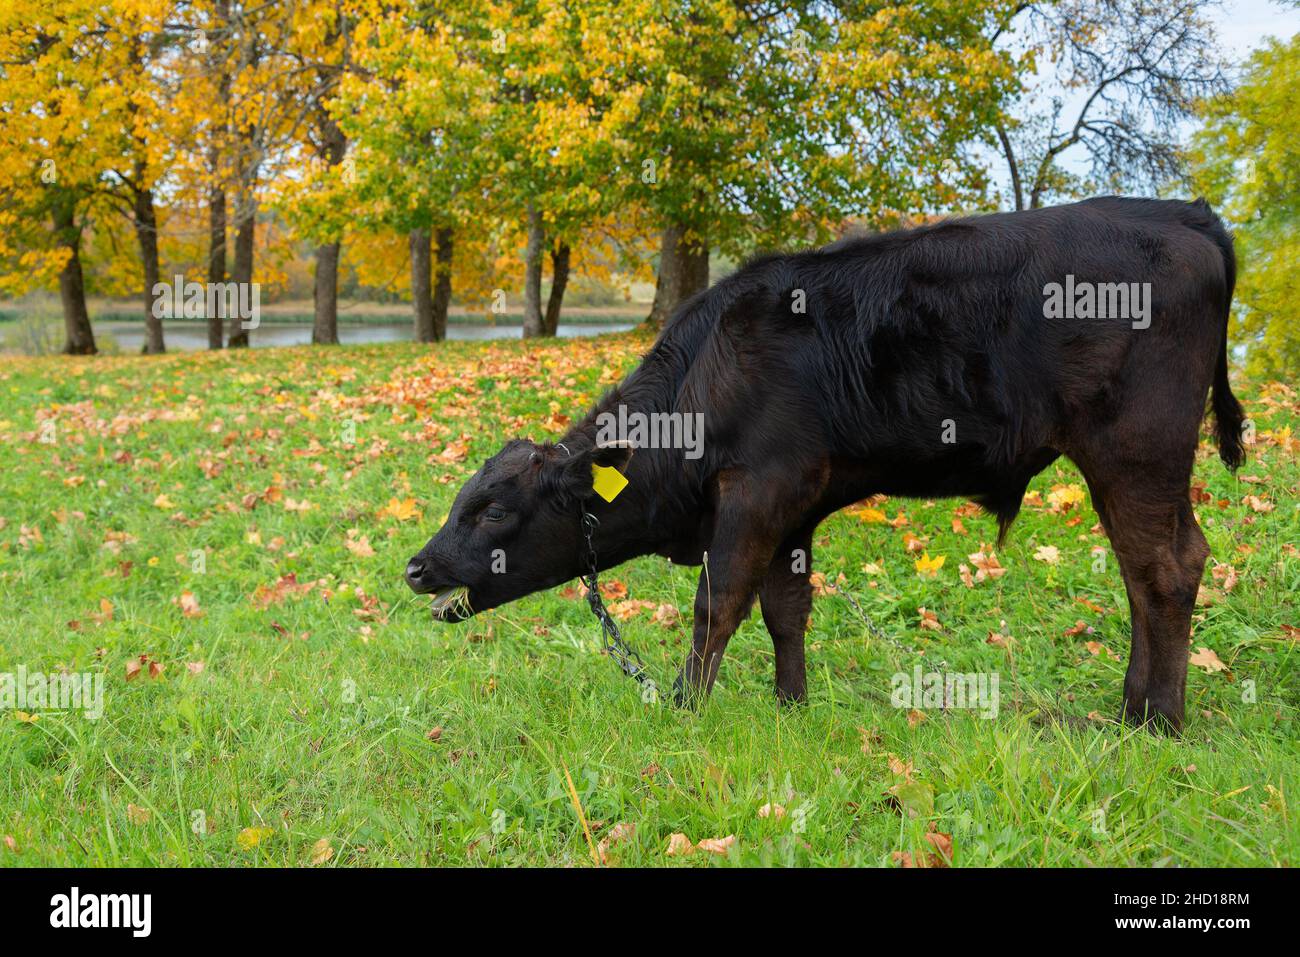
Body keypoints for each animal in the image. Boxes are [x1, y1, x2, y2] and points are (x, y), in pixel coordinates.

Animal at [405, 196, 1245, 733]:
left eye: (493, 509)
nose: (415, 566)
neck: (706, 376)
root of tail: (1180, 211)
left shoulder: (757, 489)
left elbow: (718, 603)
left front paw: (684, 707)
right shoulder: (795, 508)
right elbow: (786, 610)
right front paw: (792, 708)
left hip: (1134, 449)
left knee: (1161, 571)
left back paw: (1157, 722)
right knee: (1162, 566)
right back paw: (1131, 708)